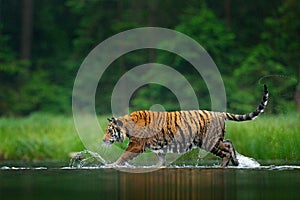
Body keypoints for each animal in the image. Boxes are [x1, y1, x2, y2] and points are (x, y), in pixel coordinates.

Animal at [103, 84, 270, 167]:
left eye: (109, 131)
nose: (103, 140)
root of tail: (220, 113)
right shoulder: (159, 149)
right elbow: (161, 163)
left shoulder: (136, 145)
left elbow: (124, 156)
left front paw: (110, 166)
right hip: (216, 139)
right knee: (229, 143)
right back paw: (236, 162)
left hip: (209, 141)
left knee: (226, 150)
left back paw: (223, 166)